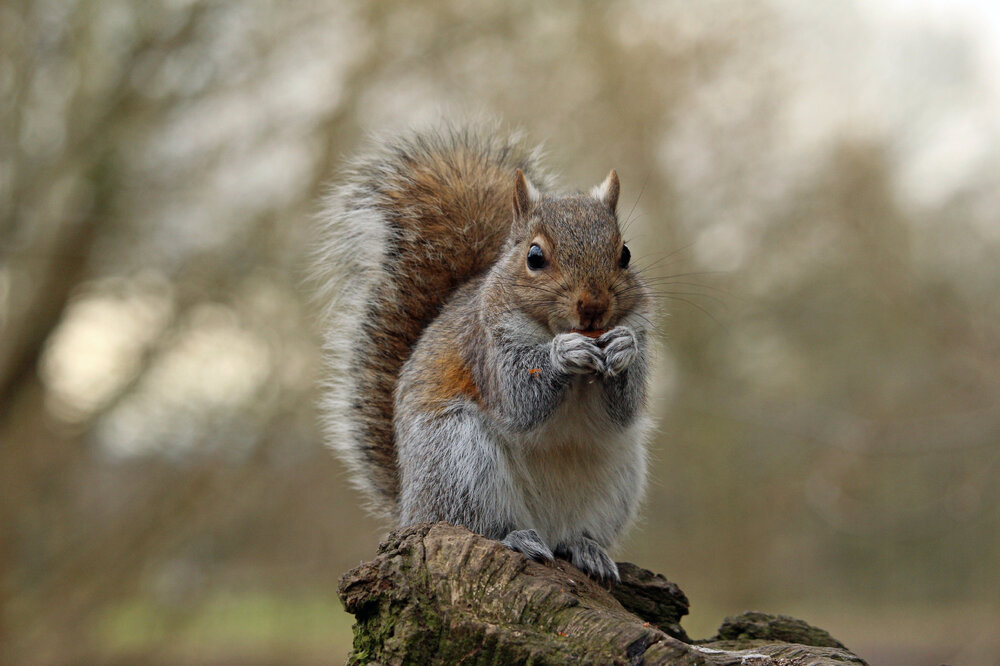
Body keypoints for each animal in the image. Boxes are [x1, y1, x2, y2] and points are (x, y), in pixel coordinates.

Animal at [314, 122, 653, 582]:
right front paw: (562, 354)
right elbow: (519, 400)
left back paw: (587, 548)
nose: (594, 306)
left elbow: (625, 405)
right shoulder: (486, 346)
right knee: (475, 522)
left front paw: (622, 348)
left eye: (625, 254)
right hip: (458, 459)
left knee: (576, 533)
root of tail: (410, 508)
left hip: (618, 479)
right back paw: (515, 537)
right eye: (534, 257)